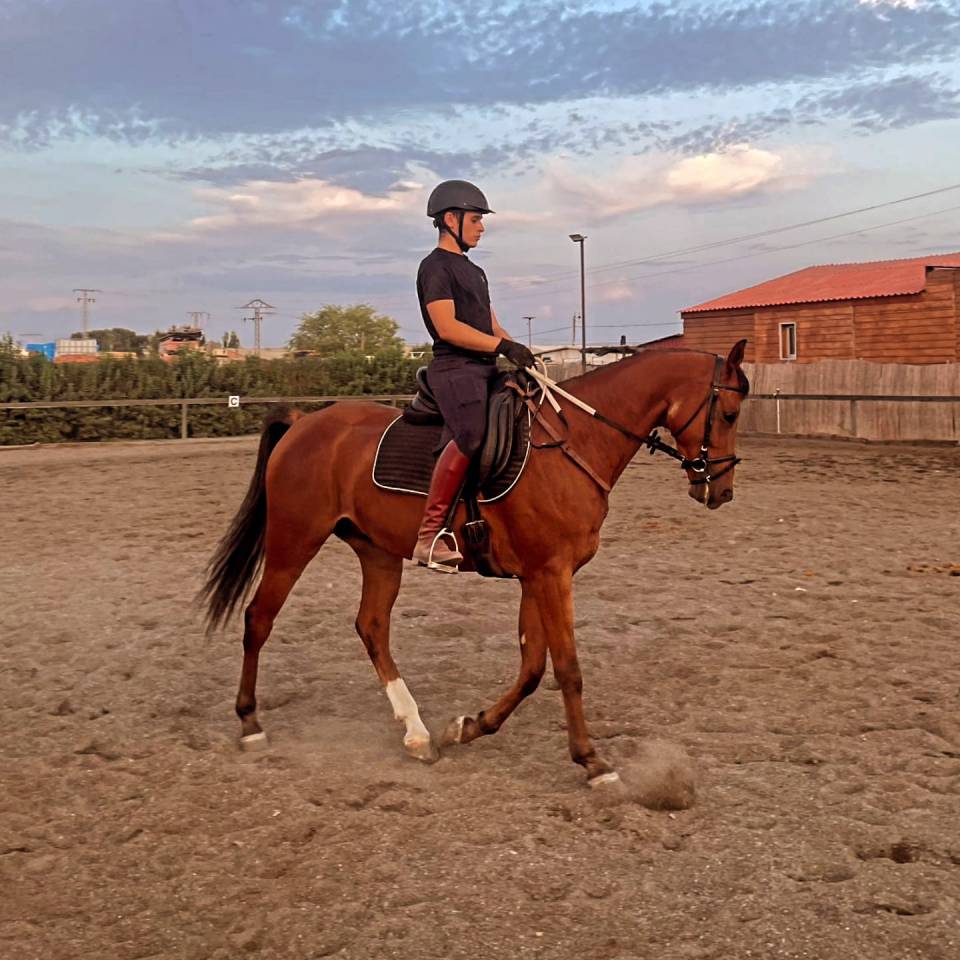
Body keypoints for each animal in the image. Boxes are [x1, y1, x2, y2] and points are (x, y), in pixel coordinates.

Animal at [200, 341, 749, 788]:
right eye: (727, 412)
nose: (721, 491)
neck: (577, 441)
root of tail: (305, 423)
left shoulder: (538, 576)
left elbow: (532, 669)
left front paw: (468, 727)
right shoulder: (551, 574)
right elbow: (568, 668)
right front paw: (593, 762)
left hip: (378, 552)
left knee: (371, 626)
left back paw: (418, 734)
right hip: (294, 540)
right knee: (259, 619)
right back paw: (250, 724)